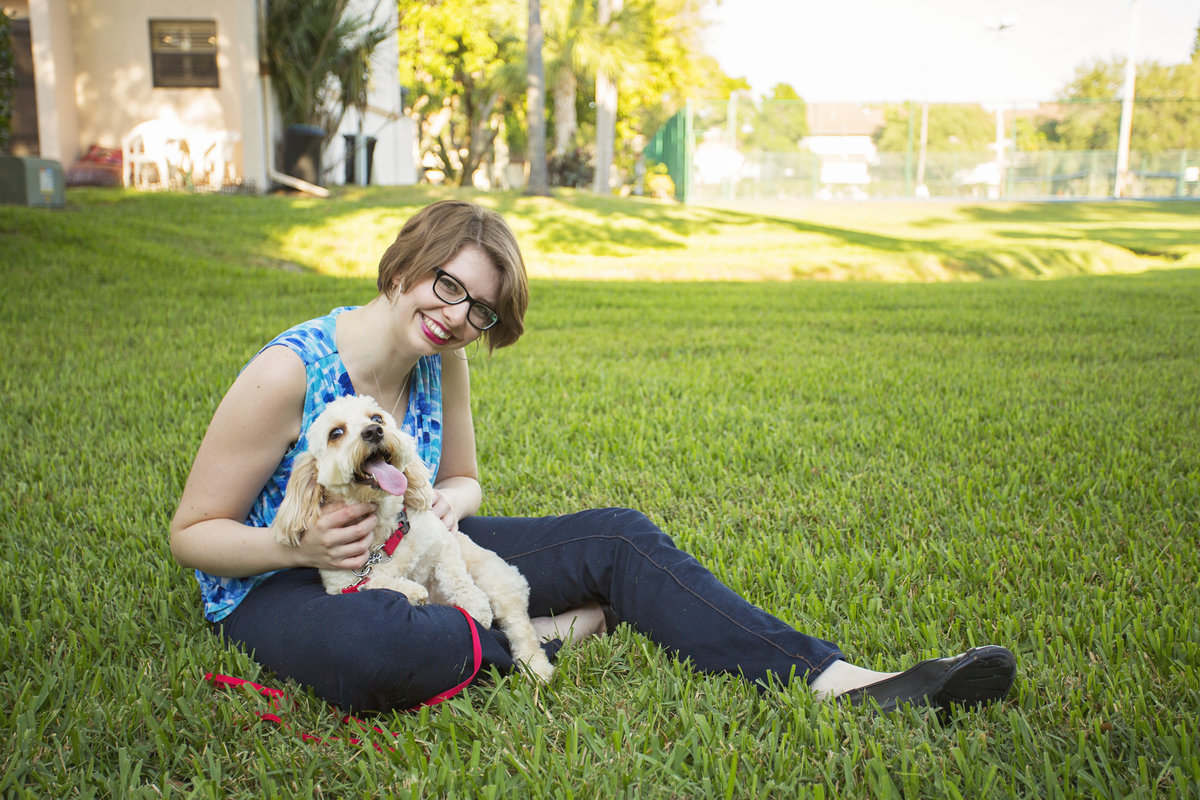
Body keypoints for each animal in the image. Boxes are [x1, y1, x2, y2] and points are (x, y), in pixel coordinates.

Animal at [272, 393, 552, 681]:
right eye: (335, 433)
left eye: (376, 418)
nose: (373, 431)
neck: (384, 537)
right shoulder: (342, 582)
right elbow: (373, 581)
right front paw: (413, 592)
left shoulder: (443, 542)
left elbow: (456, 577)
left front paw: (475, 608)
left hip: (498, 580)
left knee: (519, 626)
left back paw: (536, 668)